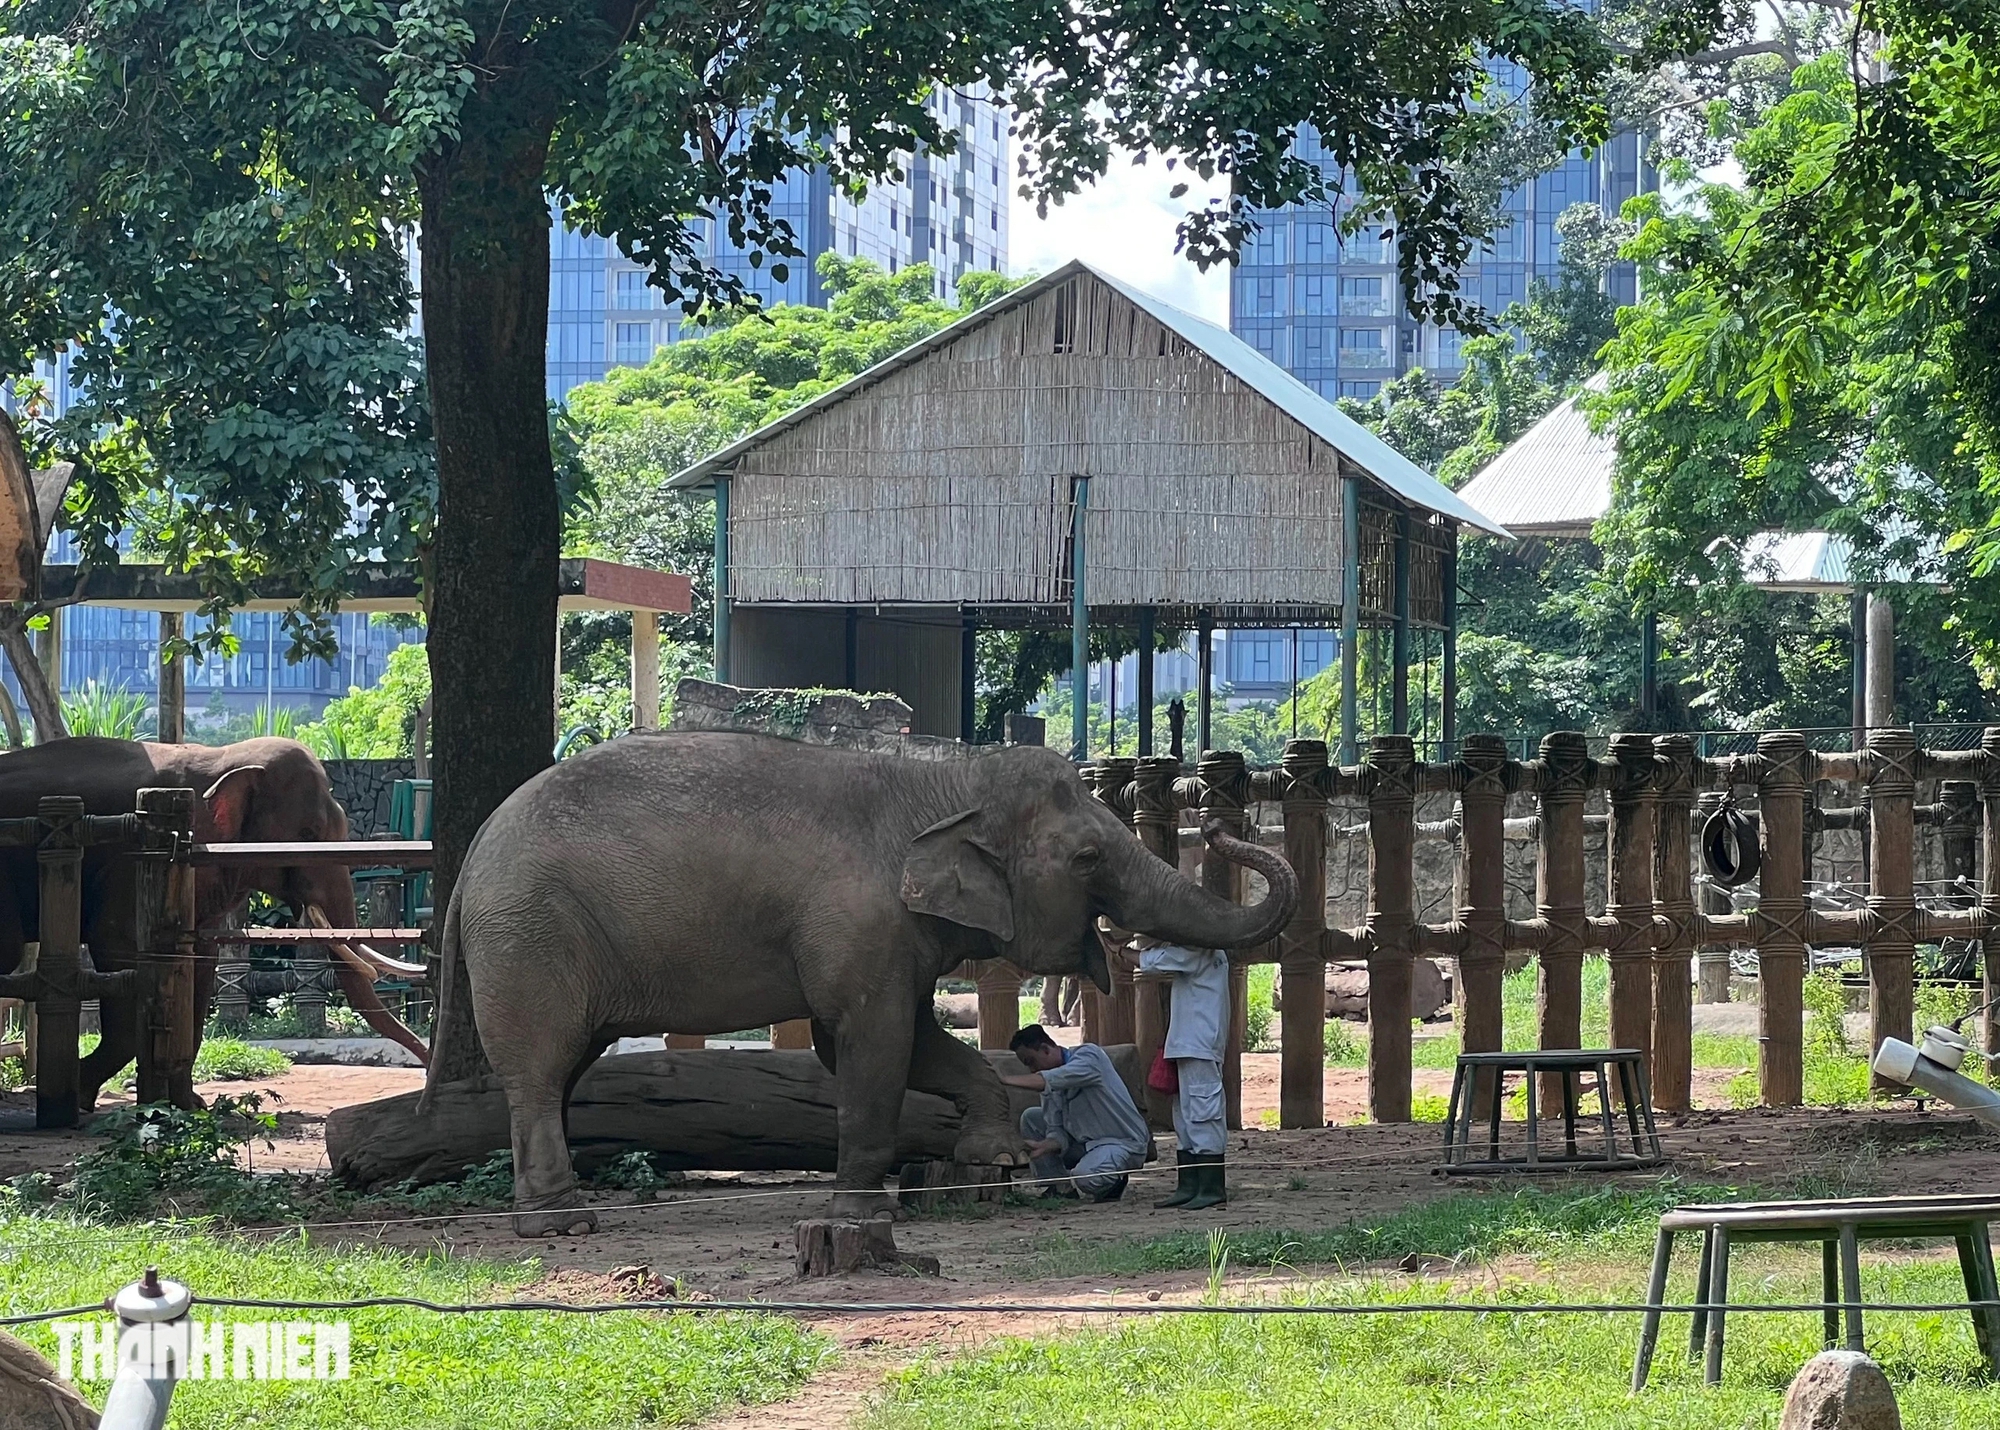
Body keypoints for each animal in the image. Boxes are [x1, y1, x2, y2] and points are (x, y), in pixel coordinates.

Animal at [0, 740, 426, 1104]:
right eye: (308, 833)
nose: (423, 1070)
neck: (224, 758)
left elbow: (198, 965)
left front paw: (190, 1106)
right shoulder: (132, 858)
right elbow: (120, 949)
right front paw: (80, 1094)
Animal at [426, 732, 1296, 1240]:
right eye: (1086, 860)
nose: (1224, 827)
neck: (945, 787)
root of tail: (472, 854)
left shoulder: (892, 933)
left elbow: (894, 1043)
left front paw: (997, 1159)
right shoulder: (860, 922)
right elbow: (869, 1042)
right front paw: (864, 1213)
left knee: (559, 1071)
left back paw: (544, 1214)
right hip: (530, 935)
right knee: (541, 1069)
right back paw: (563, 1226)